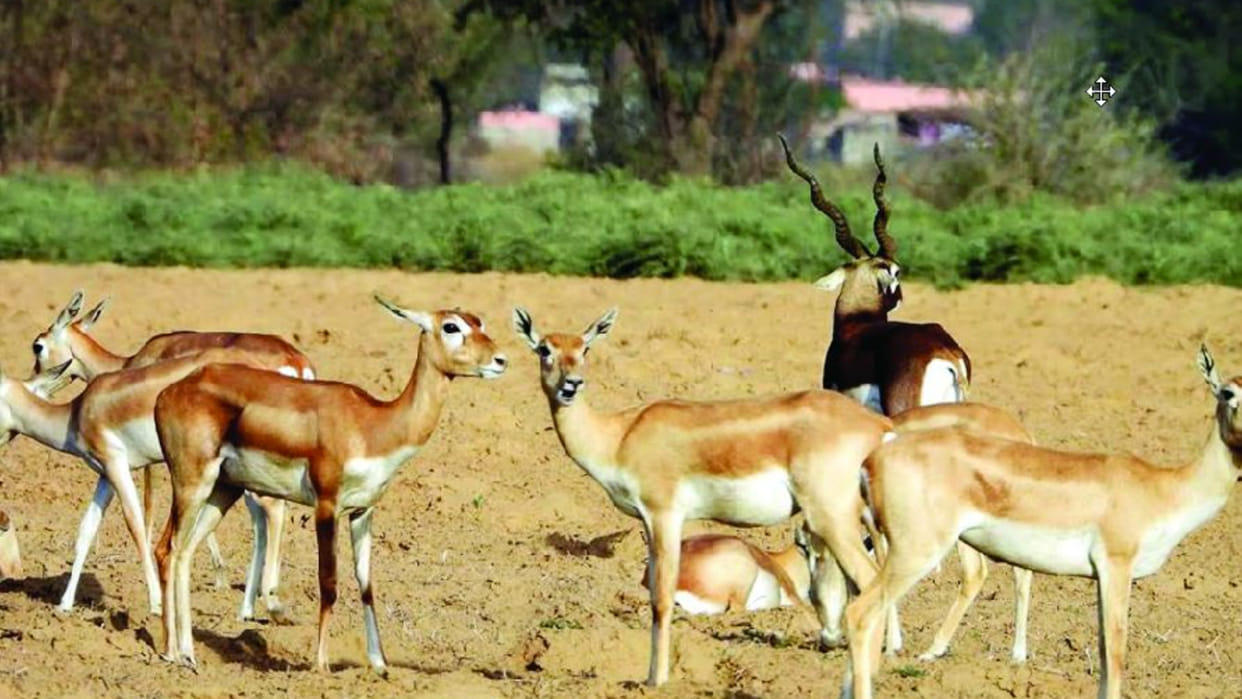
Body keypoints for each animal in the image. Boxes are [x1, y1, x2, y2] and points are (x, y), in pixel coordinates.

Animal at [30, 290, 316, 621]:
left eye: (38, 346)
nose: (36, 387)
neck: (129, 365)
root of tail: (296, 361)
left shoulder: (148, 463)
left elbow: (146, 509)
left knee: (269, 510)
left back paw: (265, 601)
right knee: (264, 515)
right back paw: (248, 607)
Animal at [152, 296, 507, 675]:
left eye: (480, 322)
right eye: (451, 326)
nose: (500, 360)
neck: (373, 424)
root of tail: (169, 392)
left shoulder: (363, 511)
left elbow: (366, 585)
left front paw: (380, 665)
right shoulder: (326, 506)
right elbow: (329, 582)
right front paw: (322, 665)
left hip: (223, 491)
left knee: (184, 552)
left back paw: (182, 653)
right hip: (191, 484)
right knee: (167, 548)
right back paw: (177, 653)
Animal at [513, 306, 894, 686]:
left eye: (585, 348)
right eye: (545, 349)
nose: (571, 385)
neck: (621, 435)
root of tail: (878, 426)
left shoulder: (664, 515)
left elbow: (661, 598)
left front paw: (655, 682)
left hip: (832, 519)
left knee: (868, 583)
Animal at [842, 345, 1242, 699]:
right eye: (1228, 392)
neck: (1163, 488)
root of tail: (874, 457)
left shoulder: (1103, 578)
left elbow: (1103, 653)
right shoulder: (1117, 567)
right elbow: (1116, 655)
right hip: (915, 552)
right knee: (860, 613)